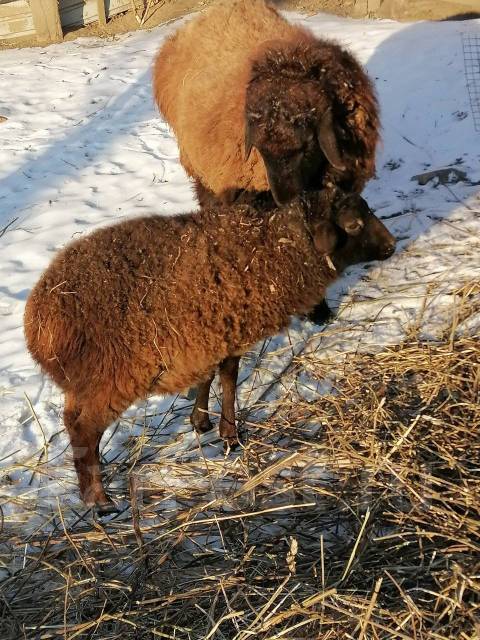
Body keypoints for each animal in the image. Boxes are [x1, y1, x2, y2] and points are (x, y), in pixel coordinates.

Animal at [24, 189, 396, 510]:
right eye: (353, 224)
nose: (391, 246)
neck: (271, 249)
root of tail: (39, 324)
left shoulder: (209, 336)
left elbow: (208, 376)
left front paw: (200, 421)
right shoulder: (229, 334)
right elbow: (228, 379)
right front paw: (230, 435)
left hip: (83, 382)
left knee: (73, 422)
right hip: (109, 378)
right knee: (84, 430)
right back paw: (98, 501)